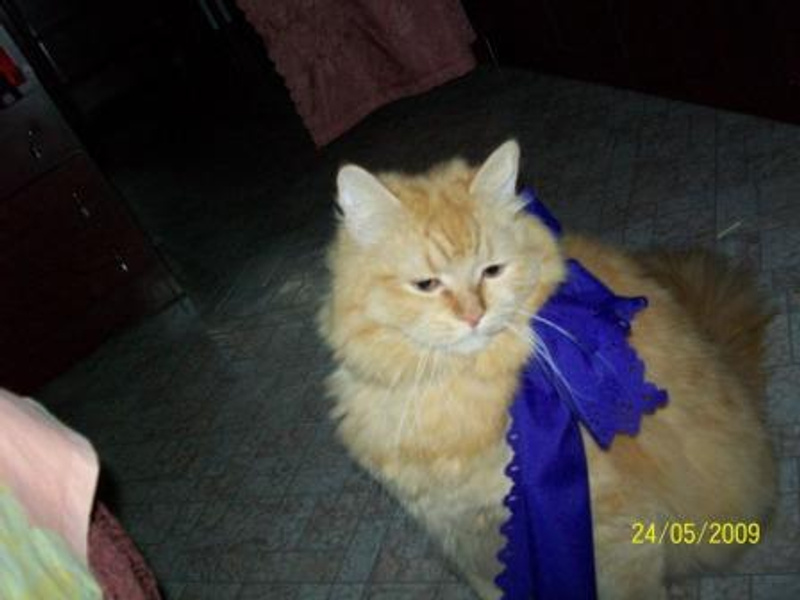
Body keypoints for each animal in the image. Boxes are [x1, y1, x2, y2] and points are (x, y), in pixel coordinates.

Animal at [318, 140, 777, 599]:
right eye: (427, 285)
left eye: (492, 271)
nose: (474, 316)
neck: (455, 392)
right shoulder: (469, 545)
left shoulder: (612, 531)